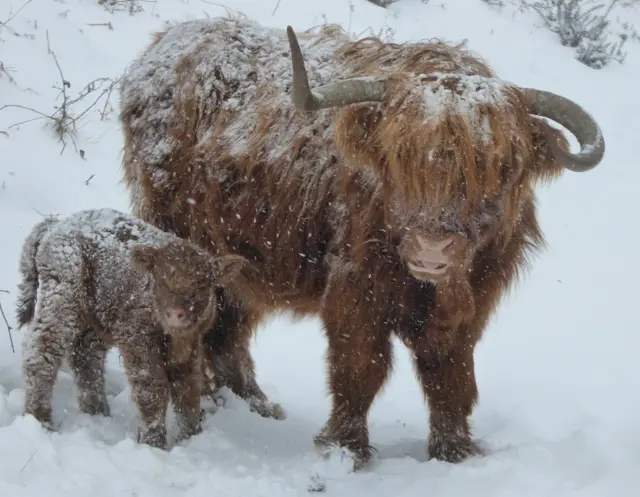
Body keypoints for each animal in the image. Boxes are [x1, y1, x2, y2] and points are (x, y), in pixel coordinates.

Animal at [15, 207, 245, 448]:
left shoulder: (190, 347)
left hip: (95, 319)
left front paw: (190, 439)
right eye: (160, 280)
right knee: (42, 353)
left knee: (86, 357)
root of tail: (54, 226)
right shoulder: (137, 340)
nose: (175, 313)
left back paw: (98, 413)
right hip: (62, 300)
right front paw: (153, 443)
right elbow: (152, 389)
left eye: (202, 284)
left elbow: (188, 392)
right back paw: (41, 420)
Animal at [119, 17, 604, 468]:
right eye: (398, 157)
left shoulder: (473, 304)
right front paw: (345, 449)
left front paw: (454, 451)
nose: (431, 250)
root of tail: (170, 40)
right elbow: (360, 366)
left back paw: (255, 406)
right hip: (178, 235)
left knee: (229, 329)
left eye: (500, 165)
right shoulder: (356, 289)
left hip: (241, 259)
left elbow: (451, 376)